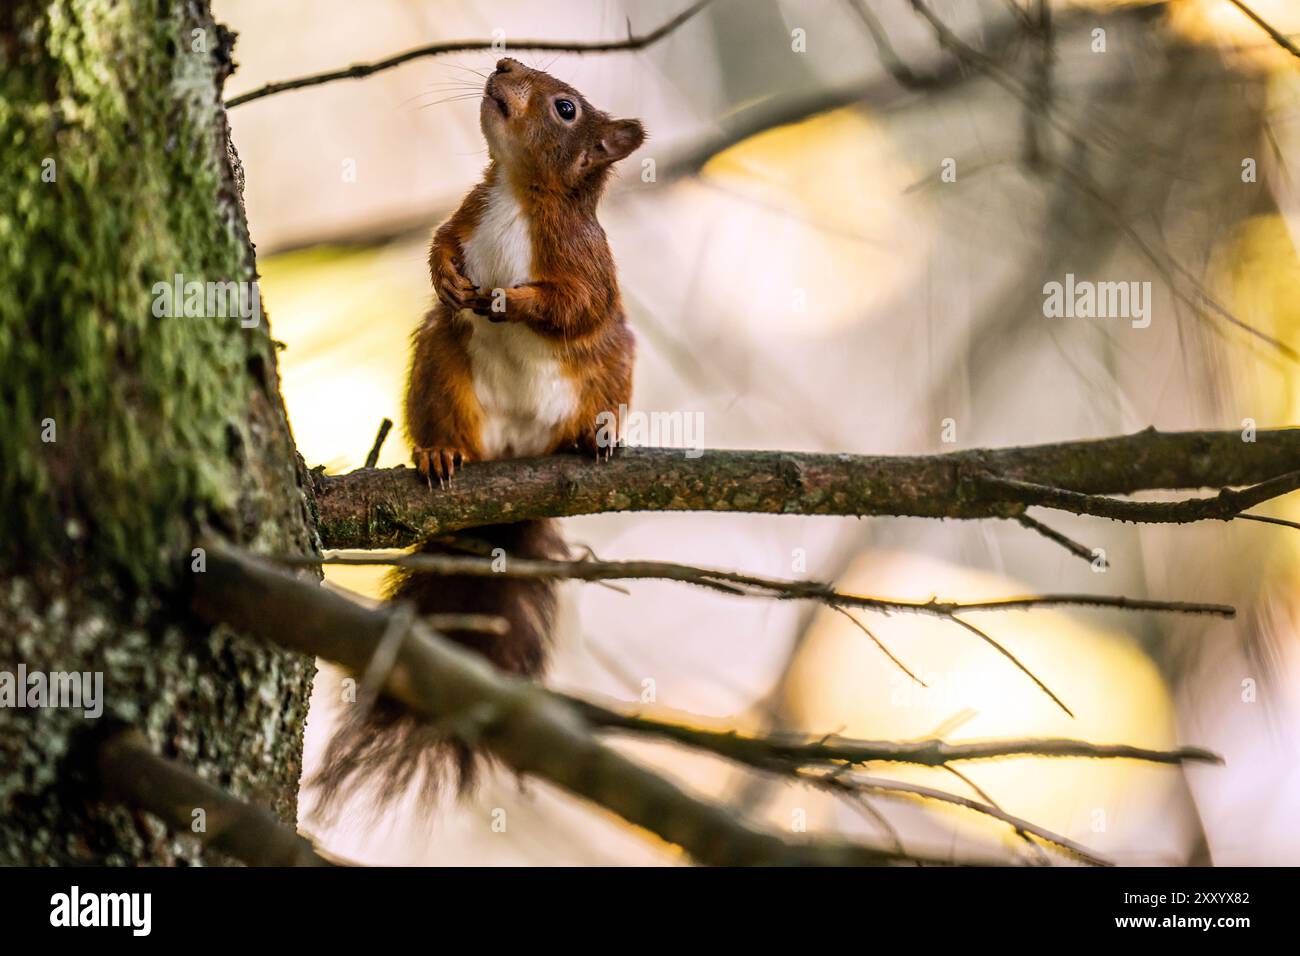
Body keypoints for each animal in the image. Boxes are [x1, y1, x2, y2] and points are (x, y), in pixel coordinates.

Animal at [314, 55, 639, 811]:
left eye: (566, 107)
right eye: (518, 63)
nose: (502, 64)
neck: (517, 192)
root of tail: (515, 461)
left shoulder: (586, 265)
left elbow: (573, 305)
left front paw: (508, 300)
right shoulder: (467, 213)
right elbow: (440, 241)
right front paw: (443, 272)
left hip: (609, 374)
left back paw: (591, 440)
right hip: (440, 364)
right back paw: (441, 453)